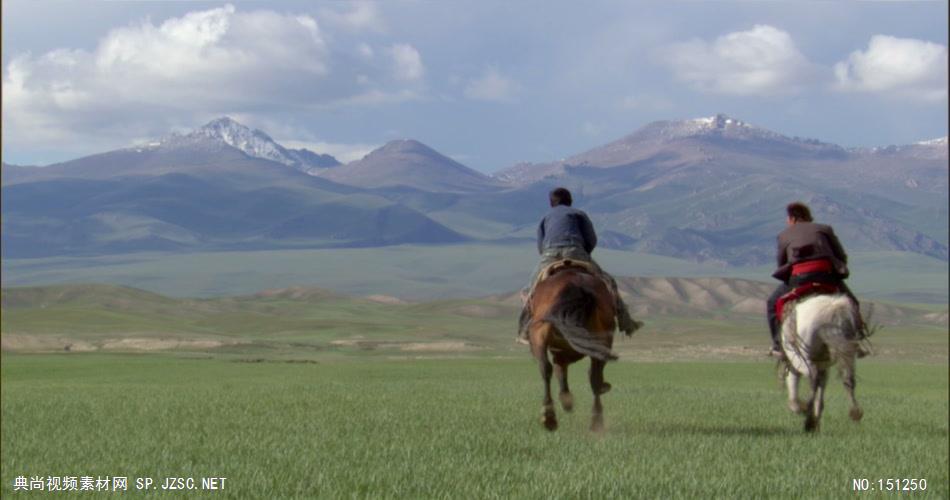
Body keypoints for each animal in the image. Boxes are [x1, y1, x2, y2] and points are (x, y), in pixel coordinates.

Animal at [524, 264, 620, 432]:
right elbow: (564, 372)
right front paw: (567, 401)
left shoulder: (562, 352)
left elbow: (559, 372)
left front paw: (566, 401)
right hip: (600, 341)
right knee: (594, 376)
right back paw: (596, 421)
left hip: (539, 334)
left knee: (545, 368)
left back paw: (549, 416)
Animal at [784, 294, 868, 432]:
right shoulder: (824, 367)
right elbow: (820, 397)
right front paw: (816, 421)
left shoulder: (794, 363)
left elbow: (794, 393)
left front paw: (803, 411)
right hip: (847, 353)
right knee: (848, 380)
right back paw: (855, 412)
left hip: (801, 356)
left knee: (812, 377)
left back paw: (808, 421)